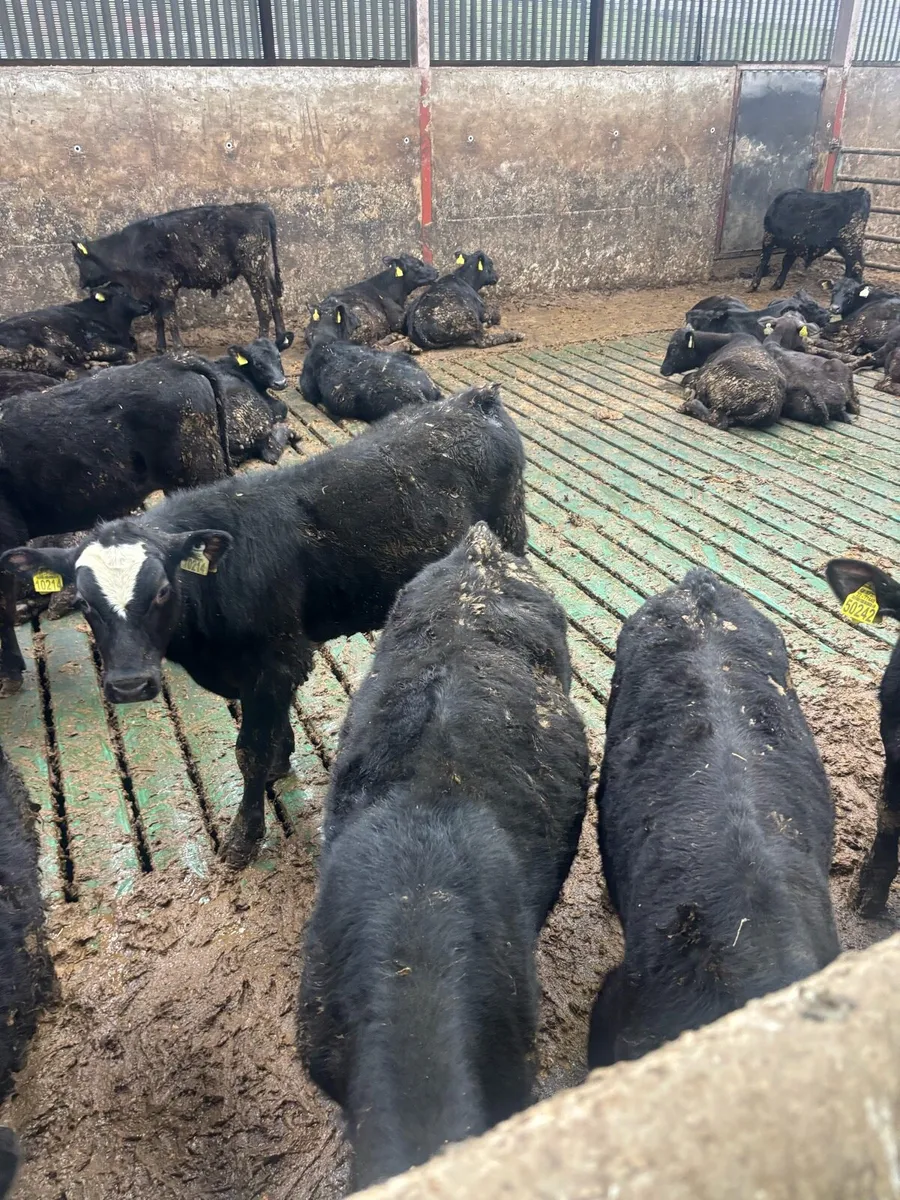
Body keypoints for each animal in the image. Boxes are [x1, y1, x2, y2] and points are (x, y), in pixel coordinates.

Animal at [0, 285, 149, 378]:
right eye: (123, 294)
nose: (146, 305)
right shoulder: (96, 346)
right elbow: (130, 354)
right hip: (42, 353)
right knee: (72, 373)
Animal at [73, 203, 293, 353]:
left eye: (77, 261)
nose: (80, 283)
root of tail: (258, 207)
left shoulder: (165, 285)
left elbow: (170, 318)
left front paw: (177, 348)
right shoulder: (152, 289)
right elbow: (158, 318)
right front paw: (160, 347)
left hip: (252, 267)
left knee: (262, 304)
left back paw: (262, 339)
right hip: (263, 268)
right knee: (274, 297)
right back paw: (280, 338)